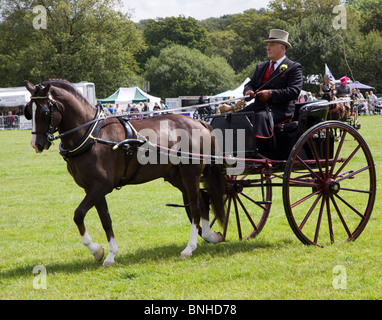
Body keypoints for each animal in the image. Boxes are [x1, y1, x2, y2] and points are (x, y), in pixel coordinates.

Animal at [23, 80, 225, 264]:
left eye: (44, 112)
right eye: (28, 112)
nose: (36, 144)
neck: (92, 135)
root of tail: (197, 122)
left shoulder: (101, 186)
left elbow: (78, 214)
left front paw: (96, 250)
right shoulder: (93, 189)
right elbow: (105, 219)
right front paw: (109, 254)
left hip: (191, 174)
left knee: (196, 206)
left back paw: (189, 248)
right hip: (177, 177)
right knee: (203, 200)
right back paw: (210, 236)